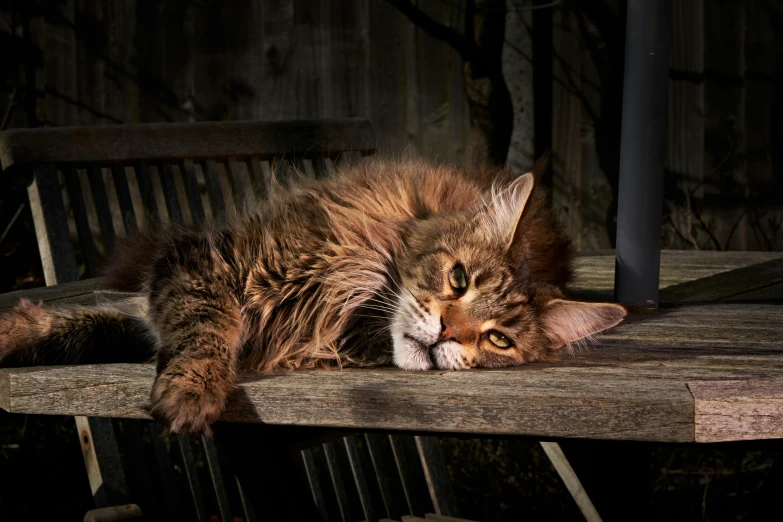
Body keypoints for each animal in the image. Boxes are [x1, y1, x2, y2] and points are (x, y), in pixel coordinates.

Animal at [0, 156, 624, 432]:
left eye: (497, 340)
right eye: (459, 279)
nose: (449, 332)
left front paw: (189, 395)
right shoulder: (200, 264)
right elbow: (100, 325)